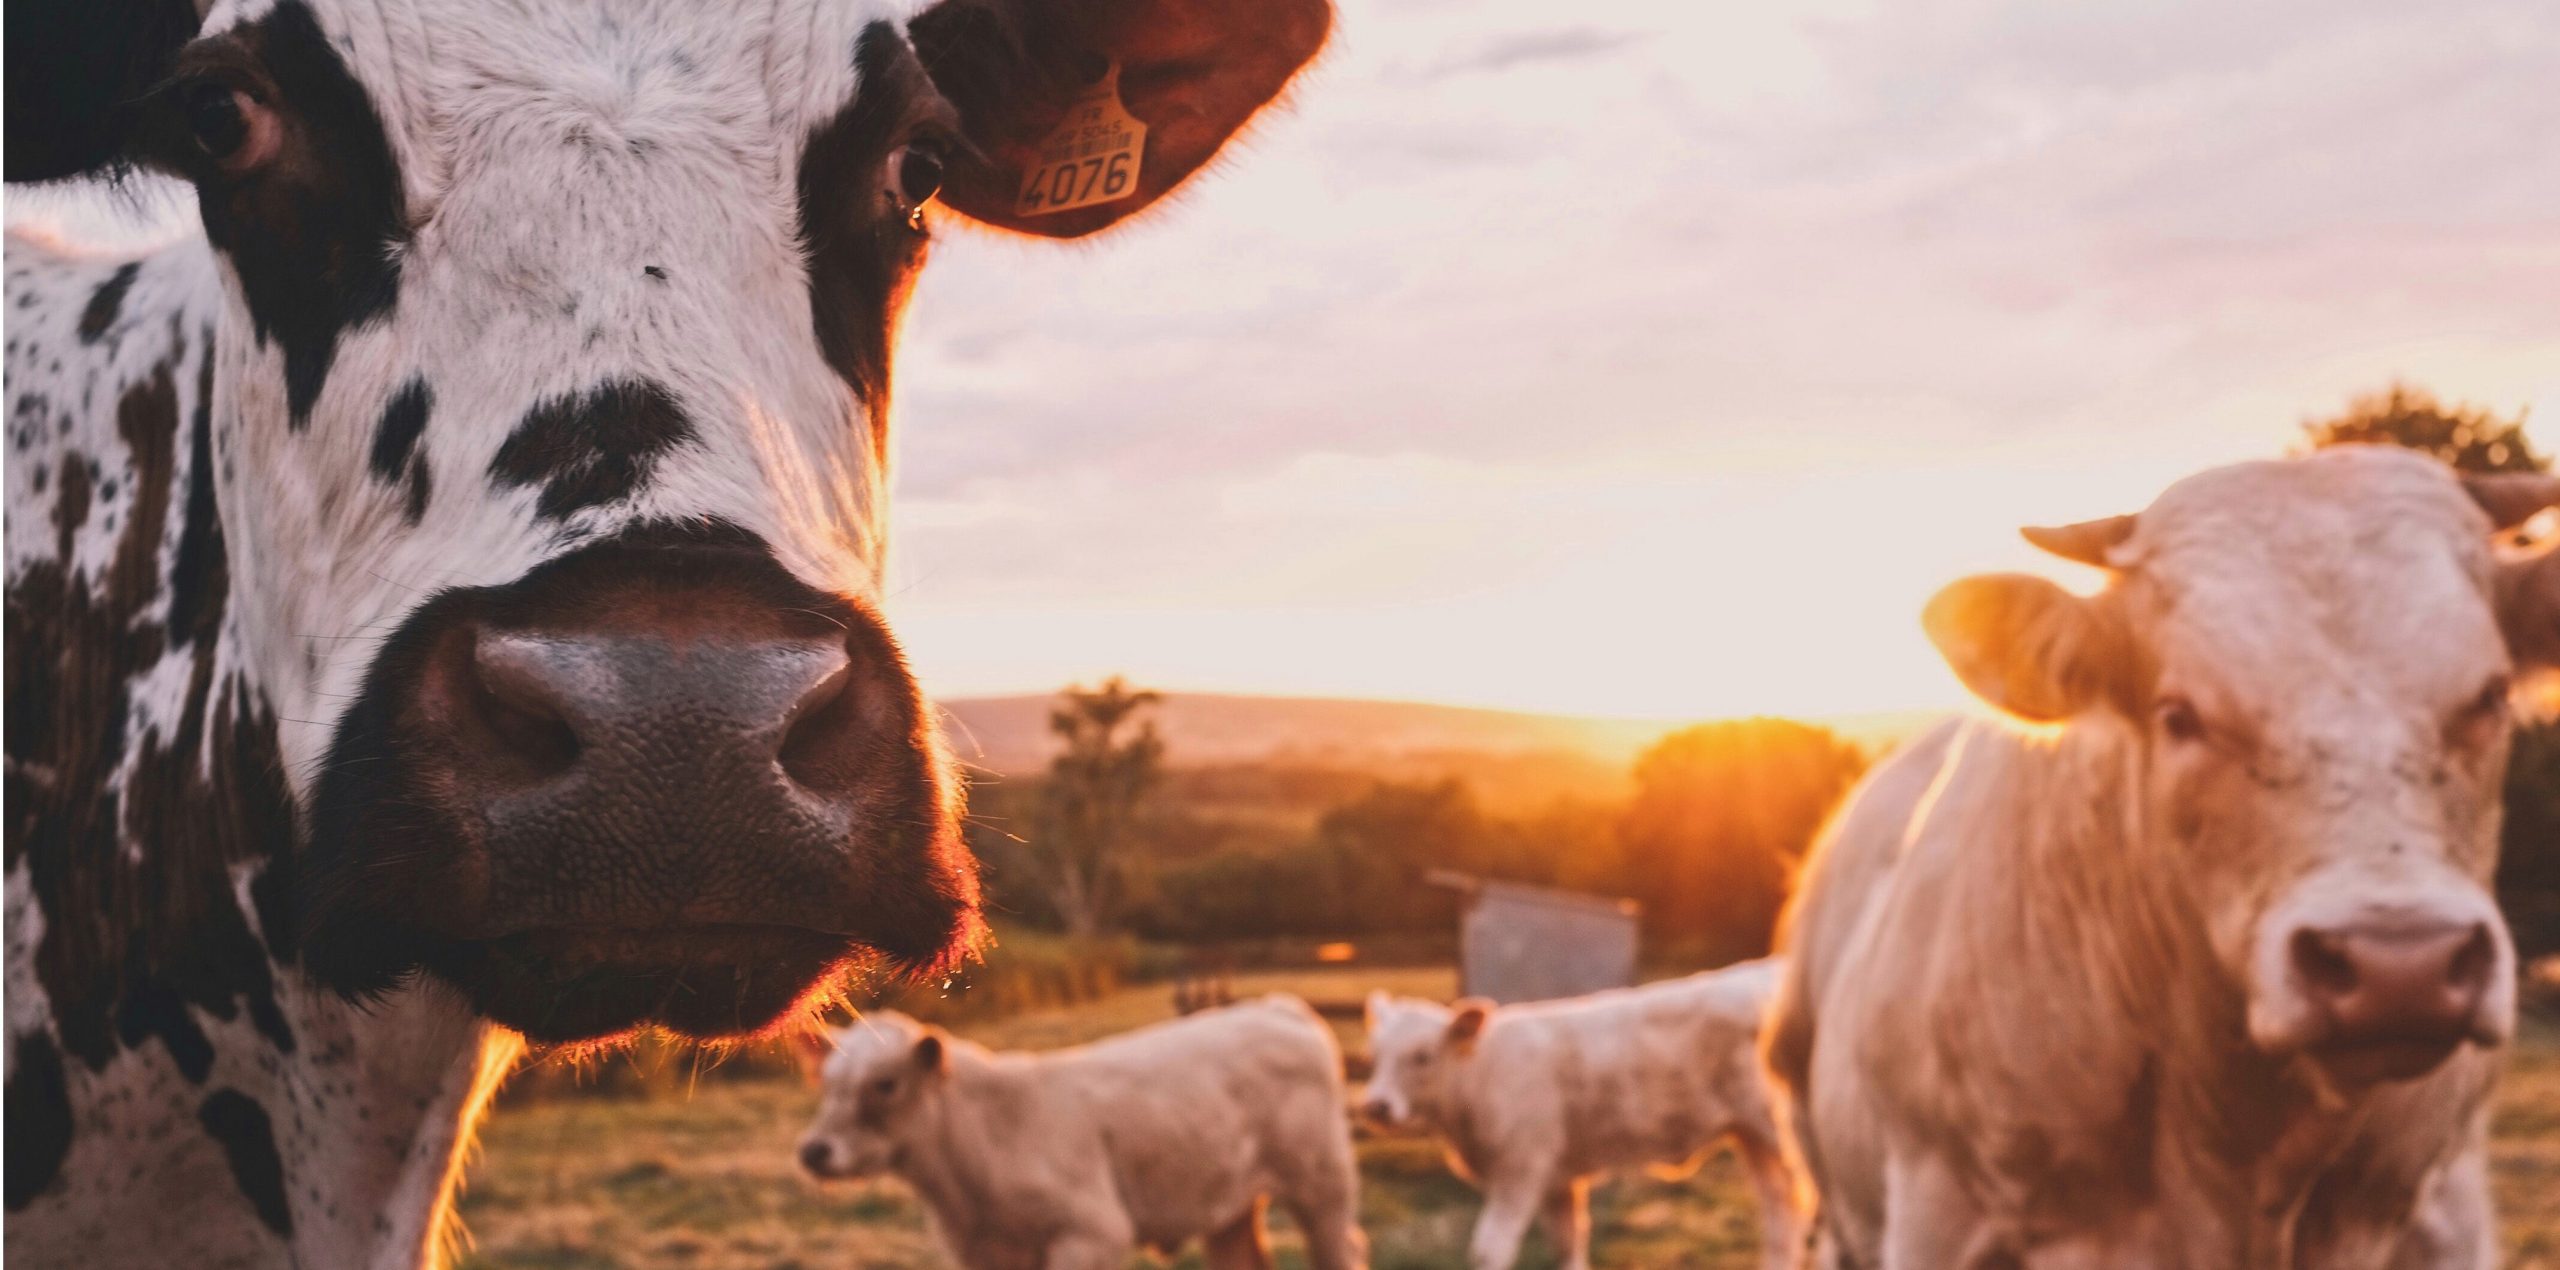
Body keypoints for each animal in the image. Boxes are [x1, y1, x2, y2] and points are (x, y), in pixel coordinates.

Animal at [798, 1003, 1372, 1270]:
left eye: (885, 1084)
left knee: (1341, 1248)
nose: (813, 1150)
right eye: (826, 1080)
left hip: (1324, 1187)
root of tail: (1276, 1007)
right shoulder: (982, 1253)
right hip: (1229, 1204)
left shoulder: (1092, 1232)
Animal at [1361, 962, 1802, 1270]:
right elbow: (1568, 1243)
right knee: (1780, 1207)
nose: (1376, 1106)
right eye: (1375, 1054)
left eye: (1423, 1056)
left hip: (1779, 1129)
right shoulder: (1558, 1178)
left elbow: (1490, 1250)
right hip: (1751, 1135)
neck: (1482, 1074)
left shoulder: (1521, 1170)